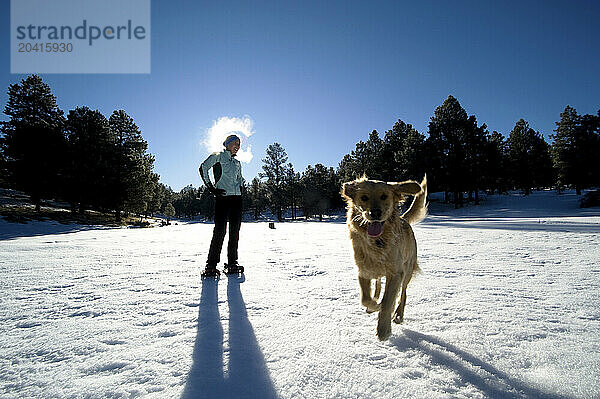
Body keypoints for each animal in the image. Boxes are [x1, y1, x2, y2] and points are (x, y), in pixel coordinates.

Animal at [342, 175, 426, 340]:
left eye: (384, 196)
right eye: (364, 197)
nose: (375, 213)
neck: (377, 241)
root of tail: (404, 220)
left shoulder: (396, 273)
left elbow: (388, 301)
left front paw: (383, 329)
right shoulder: (363, 271)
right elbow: (365, 299)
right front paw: (375, 305)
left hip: (407, 269)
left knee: (403, 293)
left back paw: (398, 315)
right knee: (378, 284)